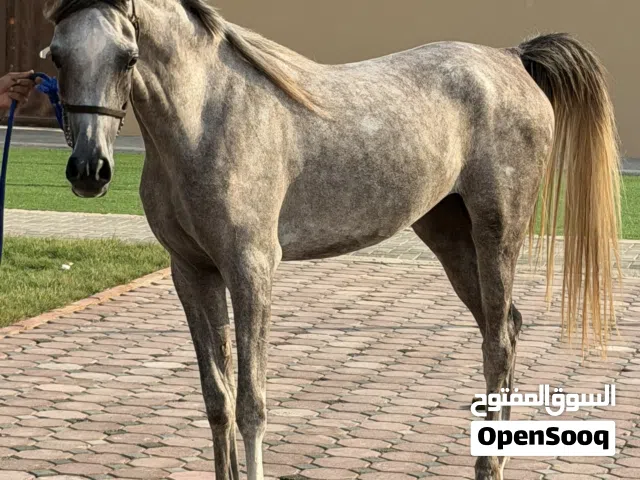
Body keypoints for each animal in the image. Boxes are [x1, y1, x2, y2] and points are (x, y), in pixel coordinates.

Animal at [43, 0, 621, 478]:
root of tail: (512, 58)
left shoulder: (251, 270)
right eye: (57, 57)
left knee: (497, 345)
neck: (208, 116)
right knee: (510, 328)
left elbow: (252, 405)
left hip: (498, 232)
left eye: (127, 56)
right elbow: (218, 400)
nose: (90, 170)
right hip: (450, 237)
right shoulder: (192, 272)